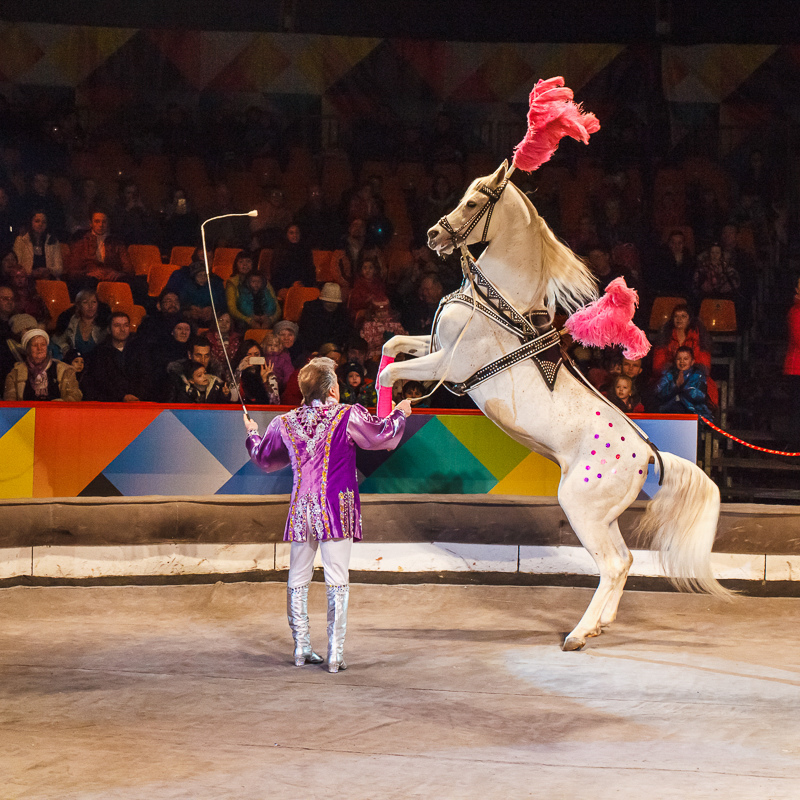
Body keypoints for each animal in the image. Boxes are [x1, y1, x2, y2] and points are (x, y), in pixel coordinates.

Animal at [378, 161, 728, 648]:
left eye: (473, 201)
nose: (433, 235)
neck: (497, 304)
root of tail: (648, 454)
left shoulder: (447, 364)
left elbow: (390, 373)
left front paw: (379, 423)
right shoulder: (433, 347)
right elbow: (391, 345)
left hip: (580, 508)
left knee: (613, 564)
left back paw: (578, 634)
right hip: (603, 516)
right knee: (624, 560)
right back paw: (599, 624)